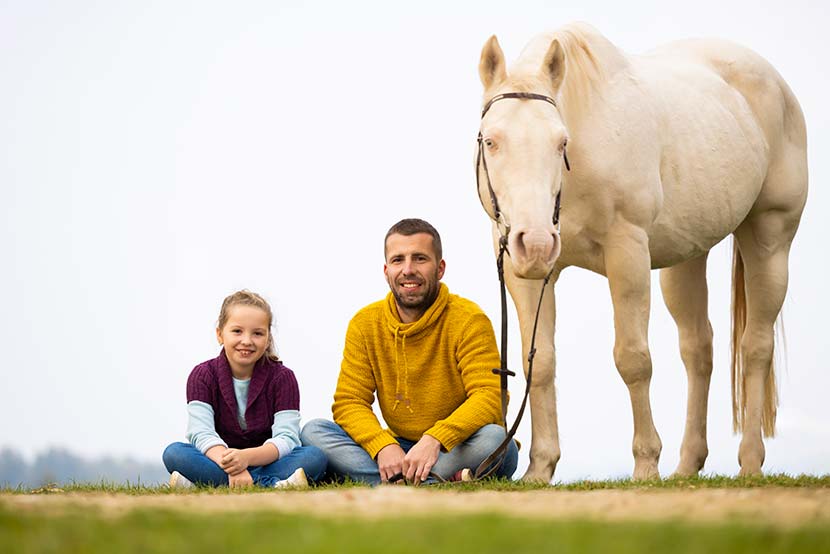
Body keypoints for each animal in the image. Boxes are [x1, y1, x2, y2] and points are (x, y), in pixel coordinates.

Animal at [478, 22, 808, 478]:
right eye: (491, 141)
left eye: (561, 142)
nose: (538, 243)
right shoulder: (523, 271)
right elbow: (538, 364)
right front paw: (540, 468)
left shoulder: (627, 254)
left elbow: (633, 359)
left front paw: (646, 463)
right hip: (686, 258)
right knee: (698, 350)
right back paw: (687, 467)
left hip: (770, 238)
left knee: (755, 347)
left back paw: (750, 463)